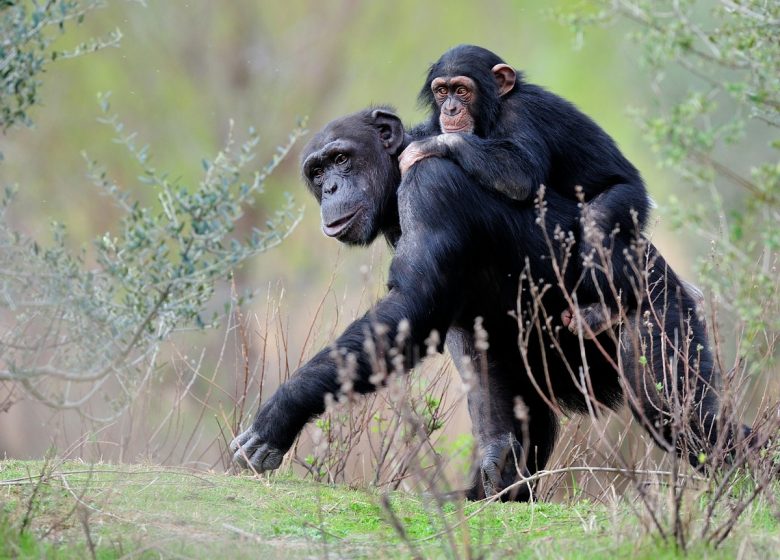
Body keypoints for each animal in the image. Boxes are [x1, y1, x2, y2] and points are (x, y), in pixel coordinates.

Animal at [232, 108, 724, 498]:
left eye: (341, 158)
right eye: (316, 173)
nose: (331, 187)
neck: (399, 176)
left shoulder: (429, 188)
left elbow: (412, 308)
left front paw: (278, 416)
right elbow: (474, 348)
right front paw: (494, 471)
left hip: (662, 312)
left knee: (679, 415)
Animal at [402, 46, 652, 334]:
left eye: (462, 90)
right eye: (442, 91)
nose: (450, 108)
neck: (494, 110)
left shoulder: (519, 113)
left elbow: (519, 172)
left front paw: (428, 145)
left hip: (631, 197)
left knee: (597, 221)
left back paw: (606, 308)